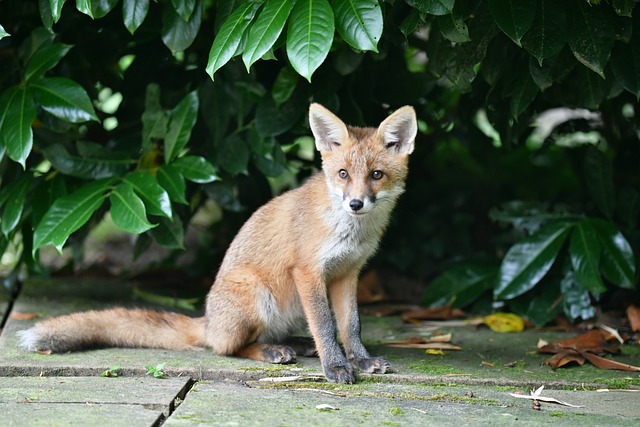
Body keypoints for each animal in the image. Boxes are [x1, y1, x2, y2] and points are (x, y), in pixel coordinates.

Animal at [17, 103, 418, 384]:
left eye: (376, 175)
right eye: (343, 174)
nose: (356, 204)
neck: (350, 231)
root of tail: (208, 321)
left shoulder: (348, 273)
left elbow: (350, 326)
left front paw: (360, 360)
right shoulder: (308, 272)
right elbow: (325, 327)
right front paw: (335, 367)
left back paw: (295, 345)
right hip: (256, 295)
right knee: (226, 349)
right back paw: (273, 351)